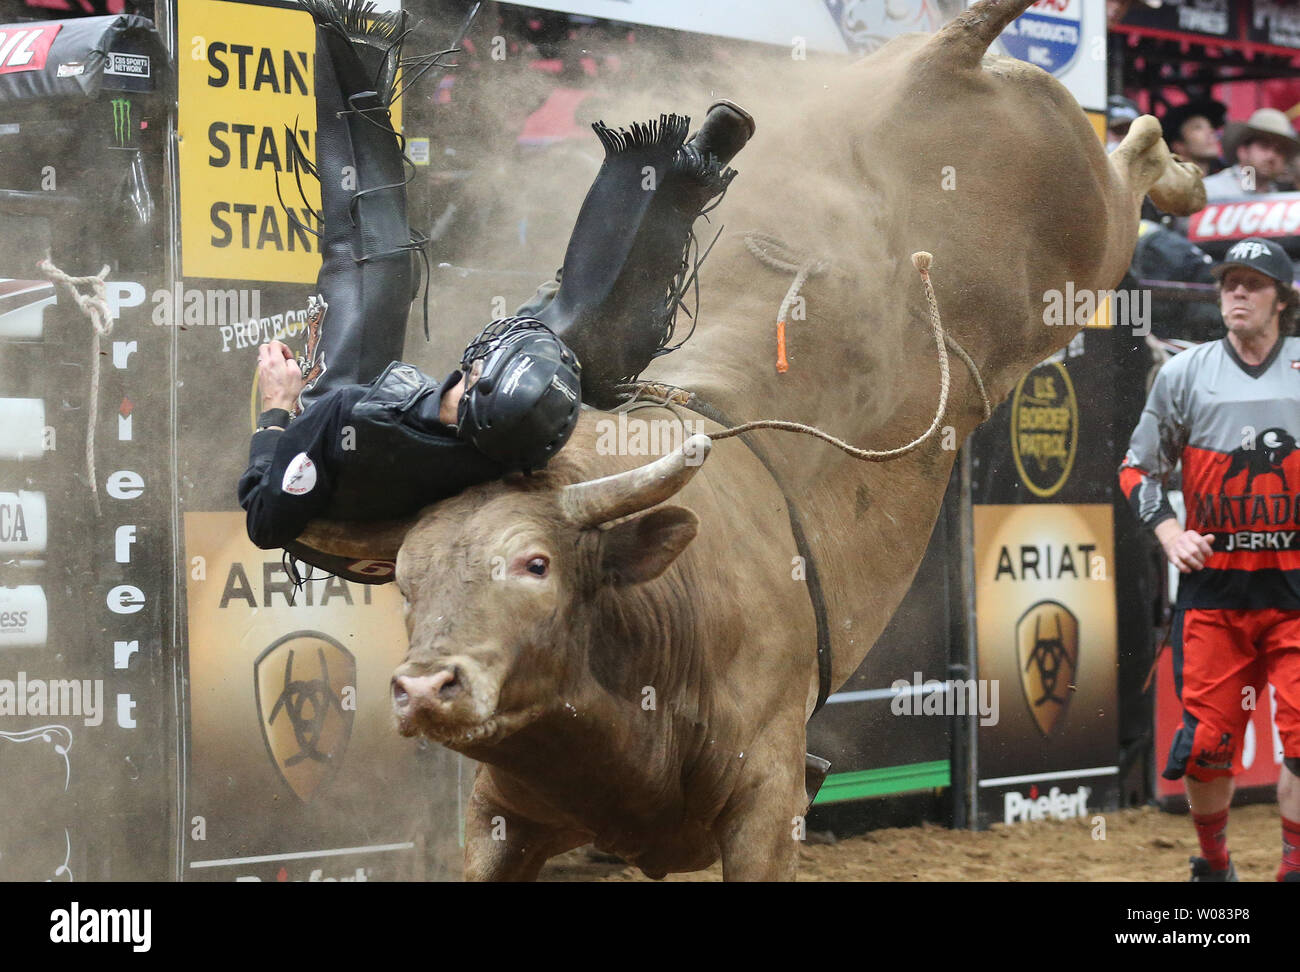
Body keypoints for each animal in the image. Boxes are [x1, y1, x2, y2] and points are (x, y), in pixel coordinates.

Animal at [299, 0, 1201, 878]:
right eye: (406, 582)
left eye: (535, 564)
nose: (425, 688)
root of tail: (937, 61)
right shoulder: (500, 816)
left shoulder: (768, 803)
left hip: (1094, 236)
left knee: (1137, 155)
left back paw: (1183, 177)